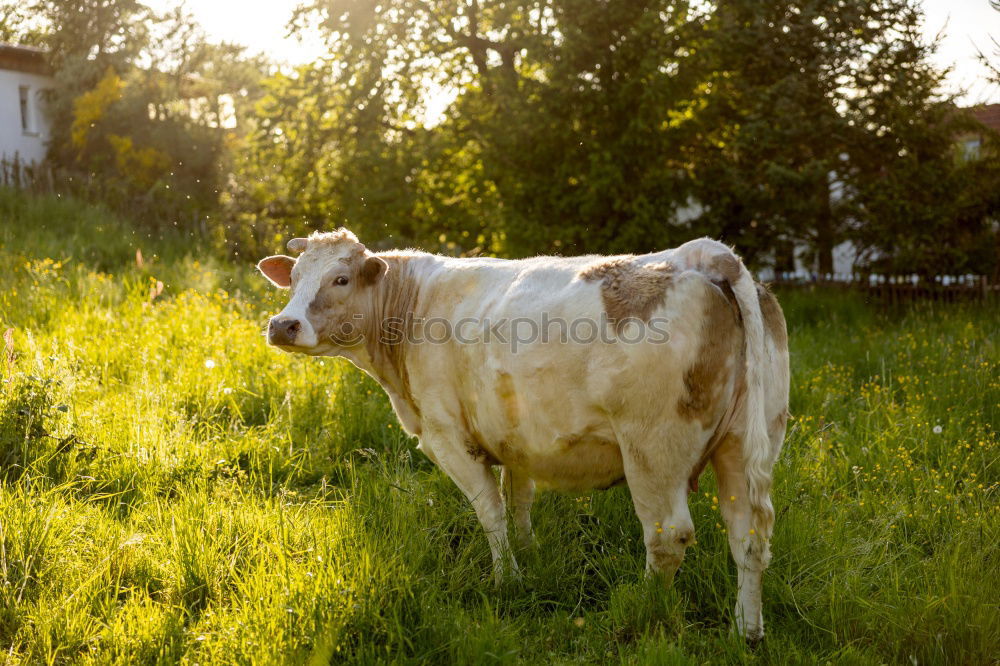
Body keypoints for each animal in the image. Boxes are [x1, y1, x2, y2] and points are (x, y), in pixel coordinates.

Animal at [258, 230, 788, 640]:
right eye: (295, 277)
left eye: (340, 279)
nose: (283, 324)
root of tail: (702, 255)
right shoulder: (517, 437)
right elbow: (518, 503)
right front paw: (531, 558)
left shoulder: (447, 435)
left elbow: (490, 511)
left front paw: (507, 578)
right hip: (743, 445)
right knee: (749, 537)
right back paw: (747, 630)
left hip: (652, 451)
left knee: (667, 537)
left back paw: (642, 610)